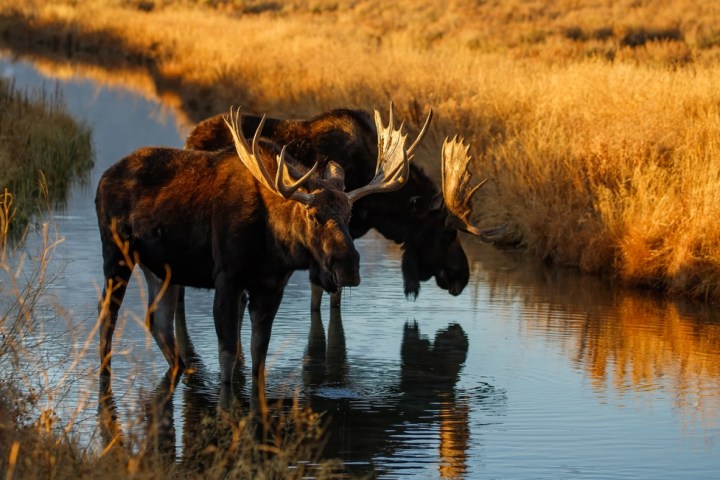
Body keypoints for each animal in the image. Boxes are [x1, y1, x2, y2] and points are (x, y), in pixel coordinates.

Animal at [95, 106, 412, 390]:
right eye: (313, 216)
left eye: (349, 215)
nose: (348, 267)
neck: (274, 243)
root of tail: (103, 178)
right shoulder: (227, 278)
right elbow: (228, 357)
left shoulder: (271, 286)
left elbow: (258, 355)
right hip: (116, 254)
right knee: (108, 312)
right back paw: (104, 373)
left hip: (162, 270)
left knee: (158, 321)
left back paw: (179, 369)